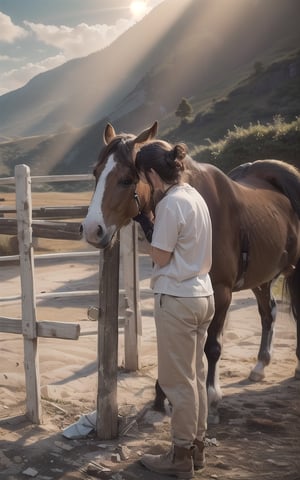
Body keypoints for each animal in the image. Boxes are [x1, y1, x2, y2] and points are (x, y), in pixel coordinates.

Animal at [81, 121, 300, 420]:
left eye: (126, 179)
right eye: (95, 173)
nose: (92, 230)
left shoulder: (221, 292)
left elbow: (212, 345)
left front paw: (211, 395)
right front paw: (162, 395)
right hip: (261, 278)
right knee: (269, 314)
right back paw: (260, 366)